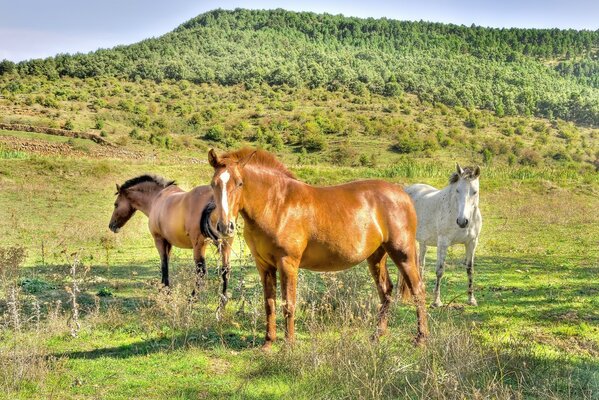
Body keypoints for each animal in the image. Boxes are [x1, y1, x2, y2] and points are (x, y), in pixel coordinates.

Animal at [206, 148, 426, 348]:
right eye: (213, 183)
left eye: (240, 183)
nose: (225, 226)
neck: (276, 205)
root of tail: (403, 194)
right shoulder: (264, 266)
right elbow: (270, 304)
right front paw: (268, 343)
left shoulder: (288, 263)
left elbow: (289, 304)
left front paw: (289, 344)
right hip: (377, 256)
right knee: (386, 291)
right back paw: (377, 335)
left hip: (402, 254)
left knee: (418, 290)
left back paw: (421, 338)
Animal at [404, 162, 482, 306]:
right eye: (457, 190)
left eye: (475, 192)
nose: (462, 221)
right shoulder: (443, 243)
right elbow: (440, 270)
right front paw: (436, 302)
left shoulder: (472, 243)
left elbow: (470, 270)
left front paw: (471, 299)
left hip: (422, 242)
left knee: (420, 264)